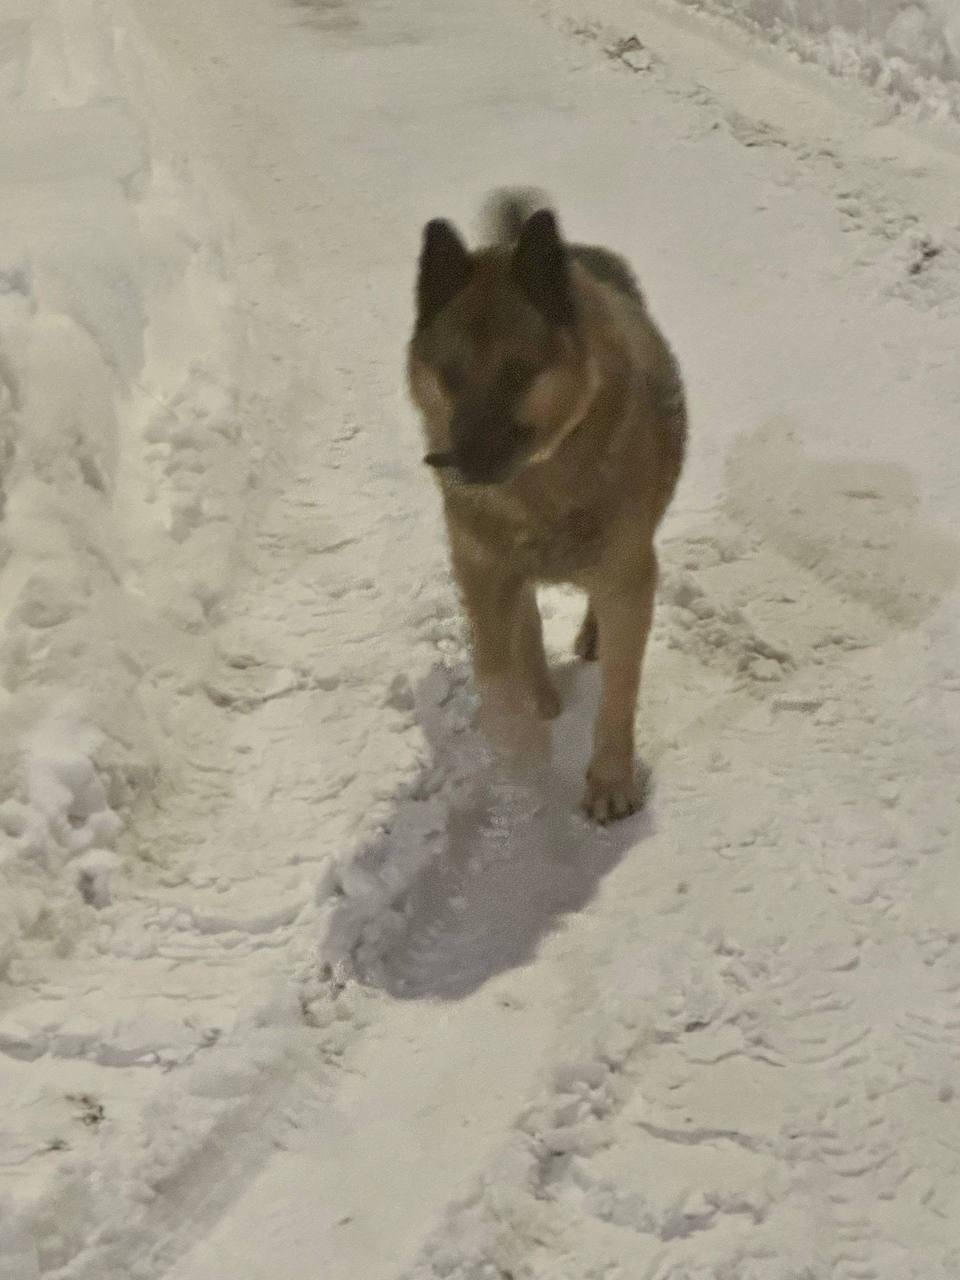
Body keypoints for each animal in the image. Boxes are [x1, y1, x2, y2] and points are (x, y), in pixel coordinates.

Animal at [406, 189, 686, 822]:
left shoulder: (628, 578)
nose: (456, 463)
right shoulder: (481, 571)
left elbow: (619, 692)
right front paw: (520, 736)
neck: (539, 485)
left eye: (518, 372)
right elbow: (496, 670)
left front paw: (610, 779)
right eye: (450, 375)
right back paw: (538, 692)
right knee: (525, 623)